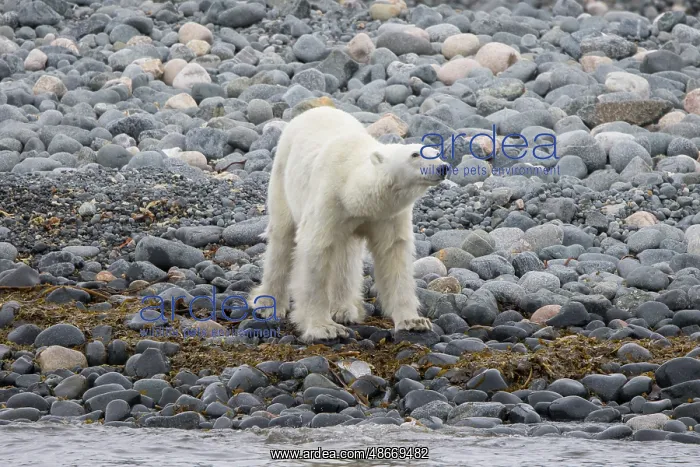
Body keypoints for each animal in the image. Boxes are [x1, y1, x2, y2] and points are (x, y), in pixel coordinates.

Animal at [249, 106, 451, 343]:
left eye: (436, 152)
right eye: (415, 154)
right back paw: (267, 304)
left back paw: (344, 309)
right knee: (282, 238)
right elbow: (316, 250)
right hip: (282, 174)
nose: (444, 167)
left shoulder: (387, 215)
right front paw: (324, 328)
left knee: (346, 254)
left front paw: (414, 322)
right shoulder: (328, 198)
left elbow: (394, 254)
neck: (352, 190)